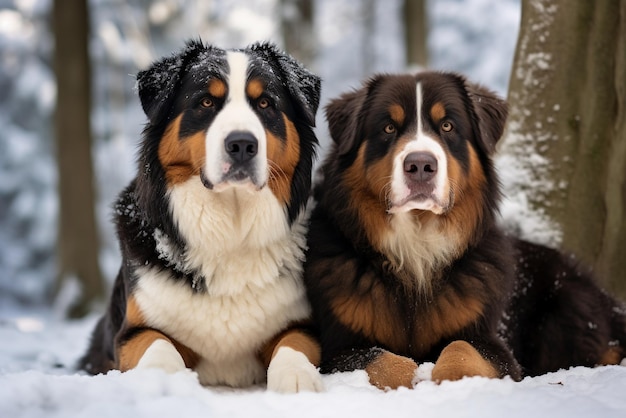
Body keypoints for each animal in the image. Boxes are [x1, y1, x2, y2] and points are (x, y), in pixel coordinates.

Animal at [77, 40, 322, 394]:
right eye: (206, 102)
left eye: (265, 103)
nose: (242, 144)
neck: (230, 232)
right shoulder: (130, 332)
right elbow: (158, 346)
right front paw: (167, 380)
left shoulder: (303, 323)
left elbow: (294, 343)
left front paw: (297, 377)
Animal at [300, 71, 620, 388]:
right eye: (389, 127)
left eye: (447, 126)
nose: (420, 165)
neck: (417, 243)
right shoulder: (340, 346)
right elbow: (383, 361)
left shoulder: (491, 341)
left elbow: (461, 349)